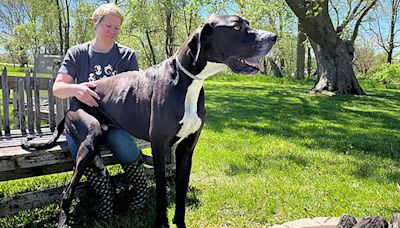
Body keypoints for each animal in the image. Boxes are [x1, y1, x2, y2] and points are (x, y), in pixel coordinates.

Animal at [21, 14, 276, 228]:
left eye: (247, 23)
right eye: (236, 27)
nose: (273, 37)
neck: (188, 80)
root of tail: (71, 104)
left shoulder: (186, 150)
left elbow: (181, 192)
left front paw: (179, 222)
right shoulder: (160, 147)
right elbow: (162, 191)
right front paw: (162, 222)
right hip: (89, 133)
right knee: (68, 188)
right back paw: (64, 220)